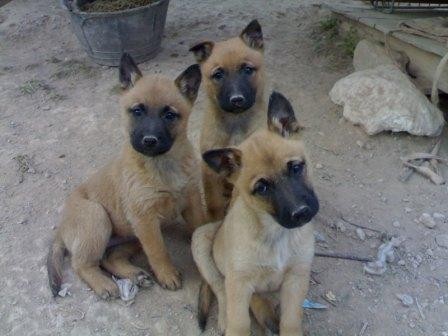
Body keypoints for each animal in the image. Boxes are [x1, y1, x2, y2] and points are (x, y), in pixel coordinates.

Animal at [46, 54, 205, 300]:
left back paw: (134, 274)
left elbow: (198, 227)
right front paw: (167, 274)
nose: (149, 141)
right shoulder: (145, 219)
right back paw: (104, 284)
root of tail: (61, 230)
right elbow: (158, 251)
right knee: (82, 264)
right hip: (97, 217)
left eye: (170, 115)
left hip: (131, 236)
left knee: (109, 258)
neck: (163, 164)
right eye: (137, 111)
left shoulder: (191, 200)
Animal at [190, 19, 266, 222]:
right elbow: (214, 202)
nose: (236, 99)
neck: (236, 119)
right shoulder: (210, 170)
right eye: (218, 75)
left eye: (247, 69)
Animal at [192, 92, 318, 336]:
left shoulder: (296, 279)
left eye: (296, 167)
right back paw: (227, 317)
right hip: (201, 241)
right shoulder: (239, 283)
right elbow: (239, 323)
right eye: (262, 188)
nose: (302, 213)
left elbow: (291, 322)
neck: (275, 233)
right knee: (220, 287)